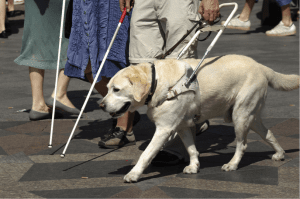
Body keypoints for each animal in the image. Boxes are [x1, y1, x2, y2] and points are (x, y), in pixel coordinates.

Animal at [99, 54, 298, 182]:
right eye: (107, 88)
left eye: (116, 89)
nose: (101, 105)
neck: (158, 82)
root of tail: (260, 66)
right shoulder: (182, 126)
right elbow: (192, 149)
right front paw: (194, 166)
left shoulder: (164, 129)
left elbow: (146, 154)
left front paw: (134, 174)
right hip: (251, 116)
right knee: (268, 133)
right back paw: (280, 153)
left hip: (240, 116)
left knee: (242, 145)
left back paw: (232, 164)